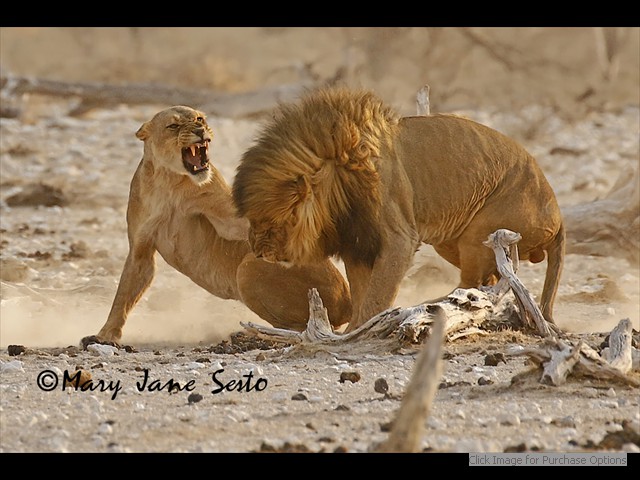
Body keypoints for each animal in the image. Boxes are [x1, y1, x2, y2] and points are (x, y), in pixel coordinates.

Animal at [81, 105, 351, 347]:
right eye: (173, 126)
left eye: (199, 118)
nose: (200, 130)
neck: (171, 182)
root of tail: (348, 299)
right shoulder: (141, 249)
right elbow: (124, 295)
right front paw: (105, 336)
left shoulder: (227, 217)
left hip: (248, 268)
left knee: (303, 327)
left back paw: (255, 335)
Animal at [232, 86, 565, 333]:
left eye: (271, 221)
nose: (258, 252)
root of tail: (559, 215)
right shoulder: (357, 245)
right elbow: (363, 293)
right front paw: (353, 330)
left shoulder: (398, 238)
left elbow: (377, 296)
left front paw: (360, 330)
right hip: (452, 242)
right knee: (489, 282)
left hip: (483, 232)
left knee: (472, 287)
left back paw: (437, 306)